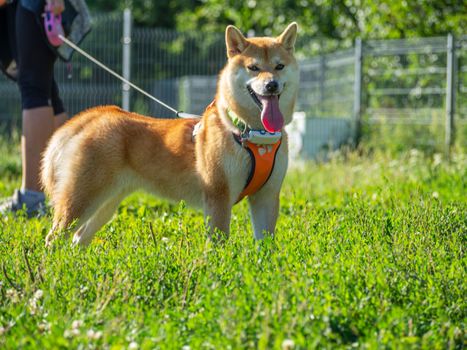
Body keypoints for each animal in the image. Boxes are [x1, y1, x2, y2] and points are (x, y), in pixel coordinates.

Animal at [43, 21, 300, 246]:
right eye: (253, 68)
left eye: (279, 66)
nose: (271, 85)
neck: (253, 134)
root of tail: (95, 115)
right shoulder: (218, 197)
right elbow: (219, 244)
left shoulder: (266, 197)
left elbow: (265, 245)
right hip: (82, 199)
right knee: (54, 238)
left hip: (107, 203)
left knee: (78, 239)